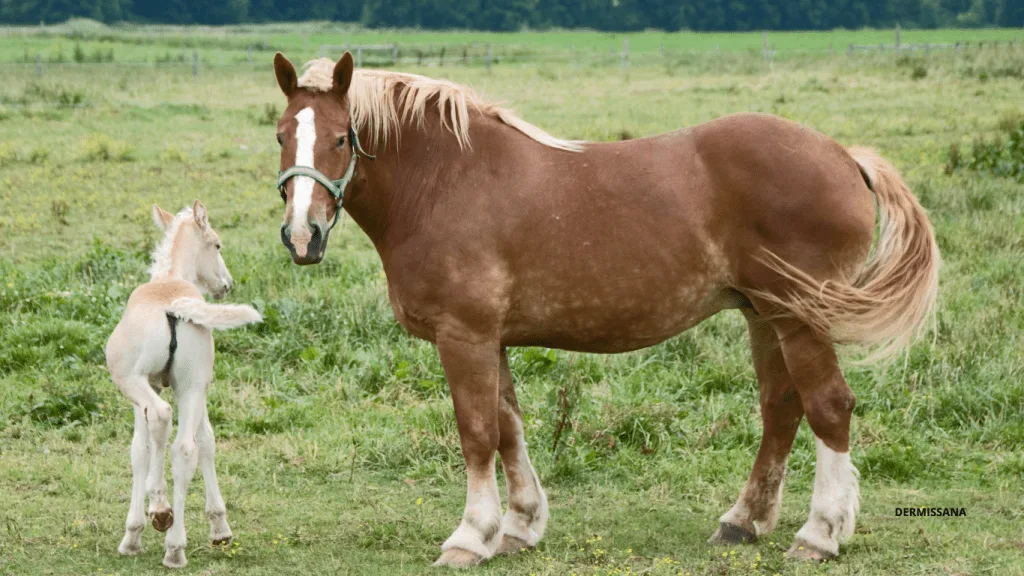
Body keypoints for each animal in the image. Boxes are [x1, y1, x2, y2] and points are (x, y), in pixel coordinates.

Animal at [105, 201, 262, 568]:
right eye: (217, 245)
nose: (226, 284)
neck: (170, 280)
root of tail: (174, 306)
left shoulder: (143, 392)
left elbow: (140, 449)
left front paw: (135, 530)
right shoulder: (196, 389)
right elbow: (204, 442)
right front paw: (218, 528)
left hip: (135, 383)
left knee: (162, 416)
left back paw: (163, 516)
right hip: (190, 388)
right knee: (185, 449)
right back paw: (175, 546)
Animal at [270, 52, 939, 567]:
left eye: (340, 138)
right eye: (280, 136)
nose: (302, 237)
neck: (446, 181)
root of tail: (846, 156)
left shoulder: (464, 337)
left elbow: (477, 433)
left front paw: (469, 537)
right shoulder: (493, 340)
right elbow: (510, 428)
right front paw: (519, 526)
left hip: (800, 316)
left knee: (828, 406)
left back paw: (820, 534)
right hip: (763, 315)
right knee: (781, 408)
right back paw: (743, 521)